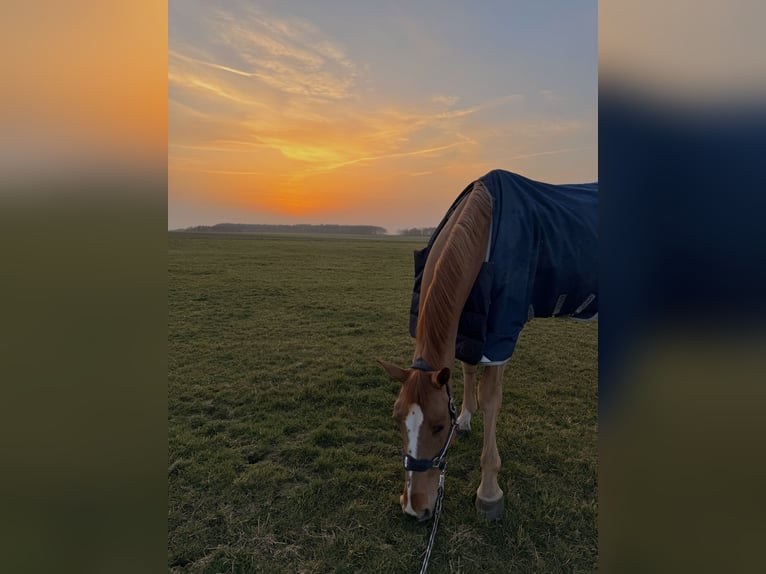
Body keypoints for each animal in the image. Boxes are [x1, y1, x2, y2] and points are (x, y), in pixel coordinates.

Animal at [379, 169, 598, 521]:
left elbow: (491, 397)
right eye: (397, 419)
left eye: (439, 427)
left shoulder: (500, 334)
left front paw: (489, 491)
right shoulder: (470, 324)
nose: (414, 507)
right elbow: (466, 367)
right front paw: (467, 418)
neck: (483, 223)